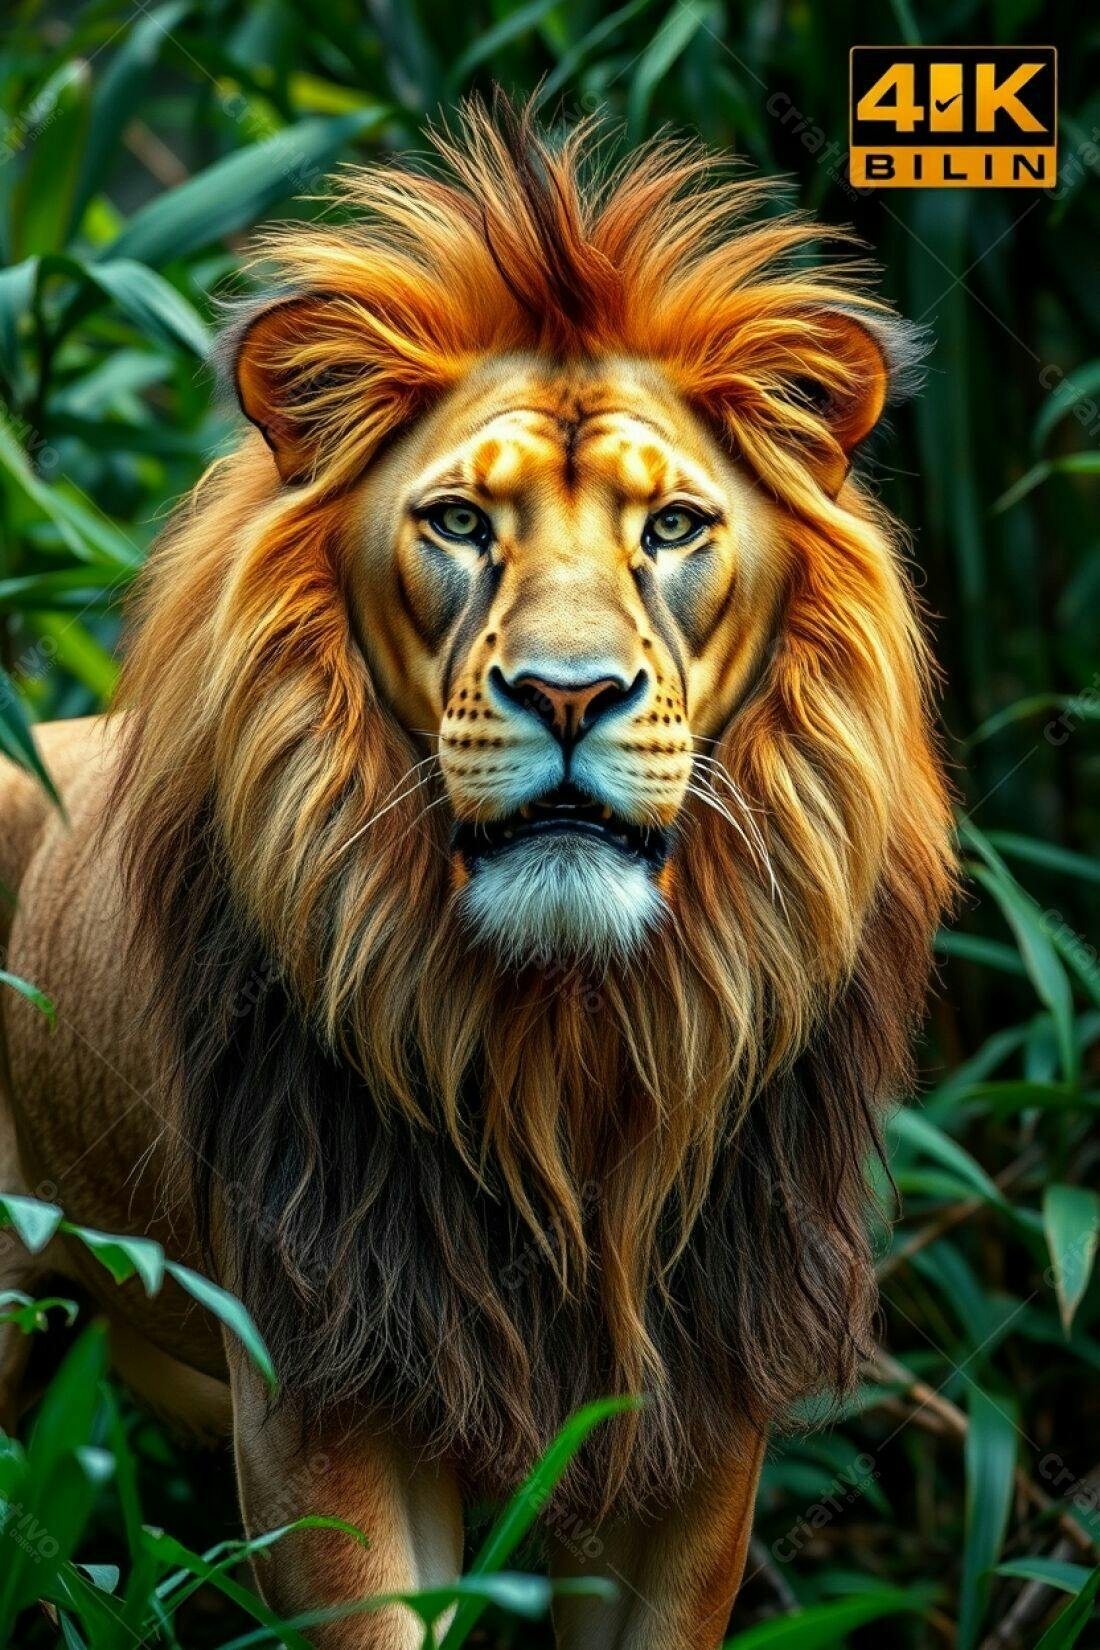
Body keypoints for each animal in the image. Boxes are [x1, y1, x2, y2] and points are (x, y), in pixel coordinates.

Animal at [0, 102, 954, 1648]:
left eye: (673, 528)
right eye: (457, 522)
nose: (568, 694)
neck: (559, 1041)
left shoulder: (699, 1394)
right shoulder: (328, 1371)